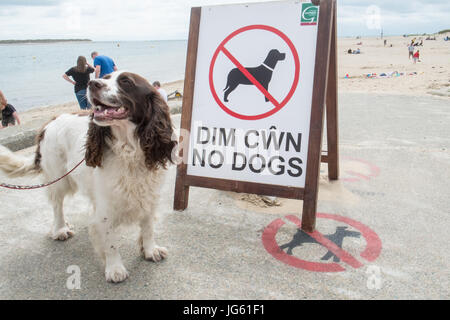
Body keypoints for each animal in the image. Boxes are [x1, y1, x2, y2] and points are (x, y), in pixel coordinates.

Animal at [0, 70, 178, 282]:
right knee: (57, 205)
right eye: (106, 77)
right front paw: (115, 268)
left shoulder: (149, 196)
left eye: (126, 82)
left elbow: (148, 227)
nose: (93, 84)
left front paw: (150, 250)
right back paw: (60, 228)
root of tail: (50, 122)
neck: (129, 150)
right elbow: (110, 240)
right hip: (58, 177)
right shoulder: (107, 206)